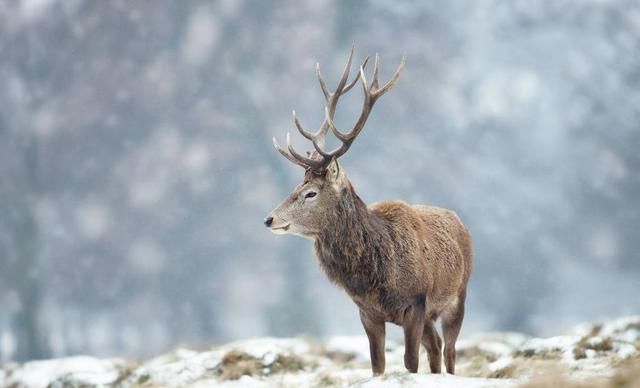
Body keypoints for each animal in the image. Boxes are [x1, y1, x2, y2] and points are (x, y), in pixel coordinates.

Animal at [262, 47, 472, 376]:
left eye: (310, 193)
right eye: (297, 186)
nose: (269, 219)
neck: (377, 275)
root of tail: (460, 222)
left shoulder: (416, 304)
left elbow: (410, 362)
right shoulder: (367, 312)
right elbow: (378, 365)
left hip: (458, 295)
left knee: (449, 349)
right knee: (436, 346)